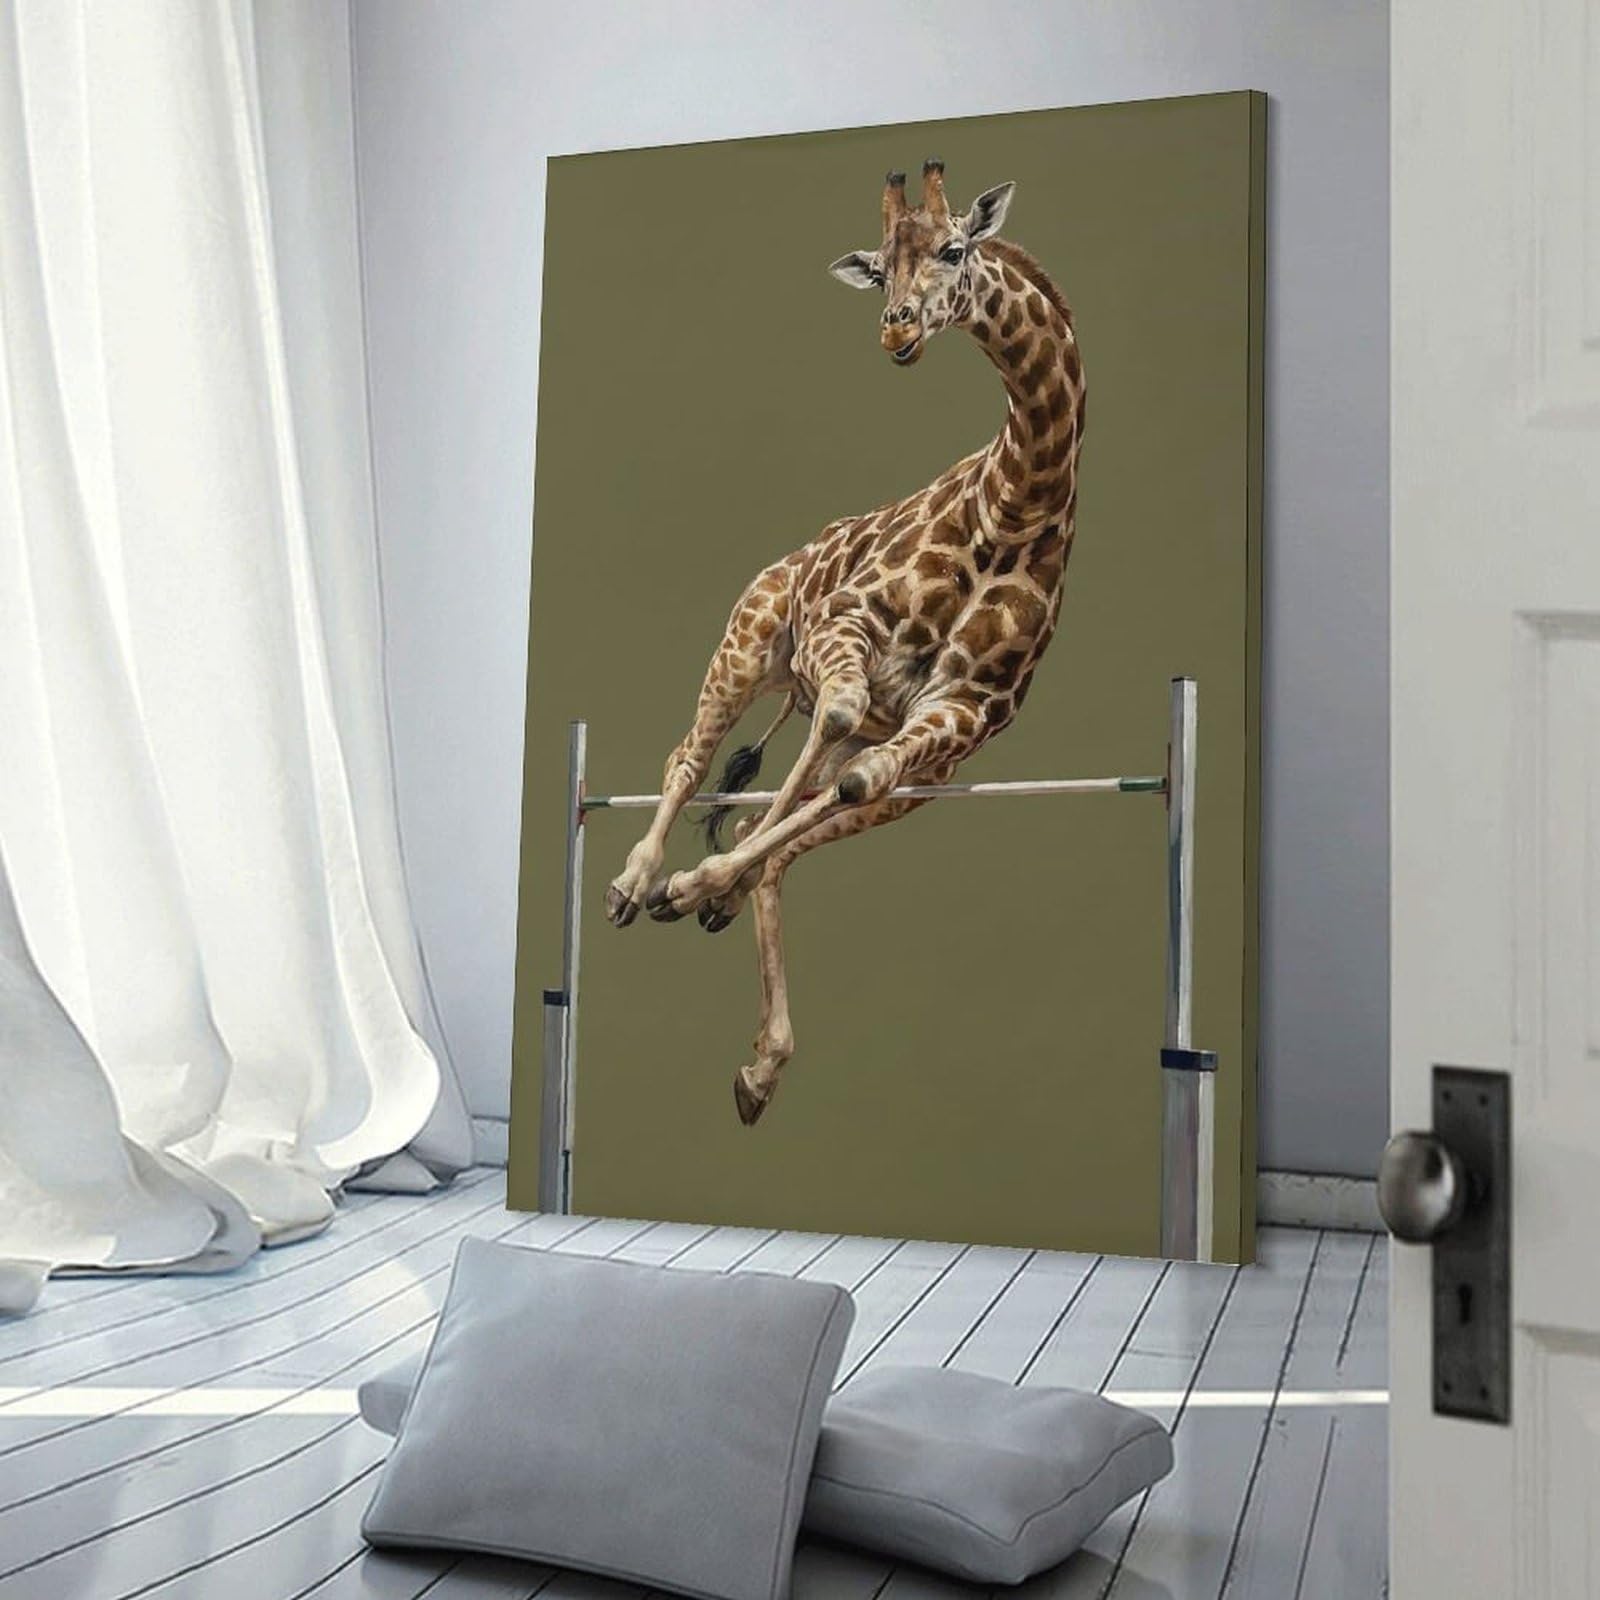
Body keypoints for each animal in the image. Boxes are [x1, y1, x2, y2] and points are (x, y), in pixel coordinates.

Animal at [603, 160, 1086, 1125]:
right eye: (879, 263)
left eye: (954, 249)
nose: (895, 326)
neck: (1021, 504)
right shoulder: (845, 628)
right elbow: (811, 744)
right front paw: (681, 881)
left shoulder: (959, 719)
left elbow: (841, 787)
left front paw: (711, 886)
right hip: (749, 642)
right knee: (691, 758)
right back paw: (638, 881)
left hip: (903, 758)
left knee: (821, 796)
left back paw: (750, 1030)